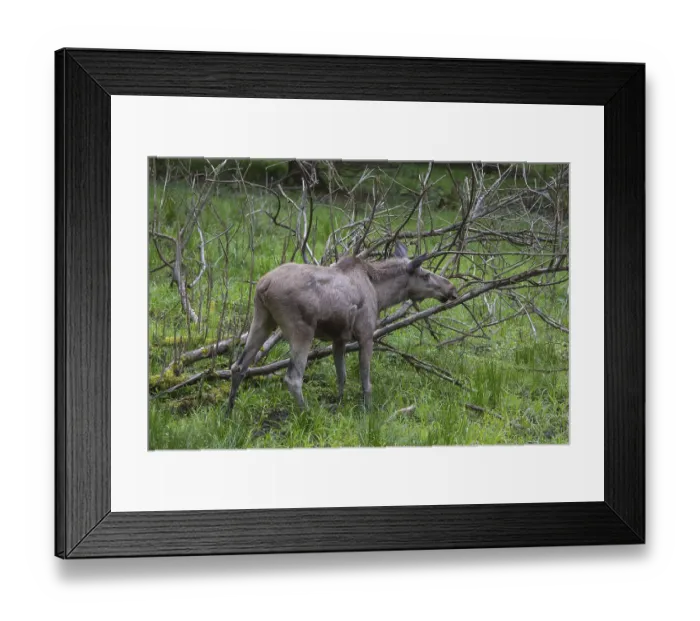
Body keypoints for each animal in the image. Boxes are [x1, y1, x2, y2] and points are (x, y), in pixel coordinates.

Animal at [226, 242, 458, 416]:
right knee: (293, 378)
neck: (381, 294)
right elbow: (365, 378)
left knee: (238, 367)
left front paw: (338, 404)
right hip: (301, 329)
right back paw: (307, 414)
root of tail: (263, 285)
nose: (451, 288)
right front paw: (367, 410)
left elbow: (342, 375)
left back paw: (229, 412)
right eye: (425, 275)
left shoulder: (339, 339)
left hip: (262, 319)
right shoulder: (366, 334)